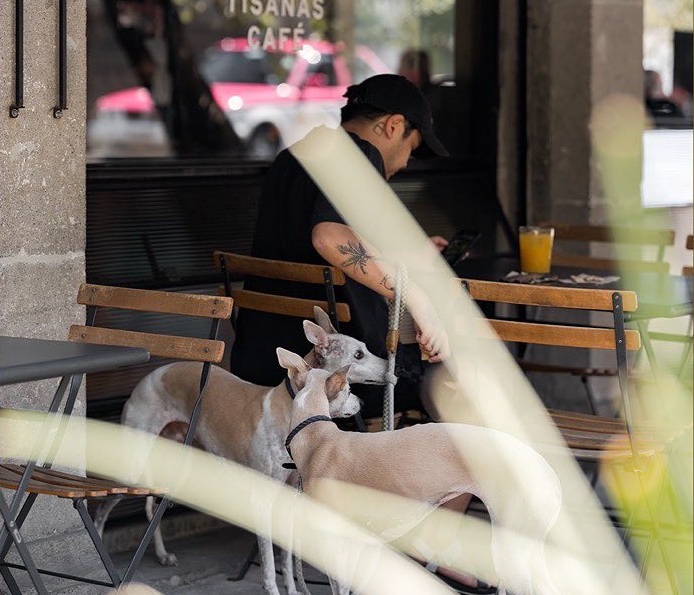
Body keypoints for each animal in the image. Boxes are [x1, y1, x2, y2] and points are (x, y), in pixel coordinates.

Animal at [93, 310, 388, 595]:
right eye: (359, 354)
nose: (362, 404)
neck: (291, 412)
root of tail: (149, 375)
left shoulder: (290, 496)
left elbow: (286, 559)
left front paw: (295, 590)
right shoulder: (263, 501)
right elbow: (268, 566)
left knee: (153, 505)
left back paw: (163, 555)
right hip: (131, 468)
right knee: (102, 508)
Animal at [280, 350, 564, 595]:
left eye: (349, 387)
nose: (360, 402)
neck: (317, 438)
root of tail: (547, 470)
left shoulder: (335, 548)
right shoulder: (361, 547)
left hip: (511, 552)